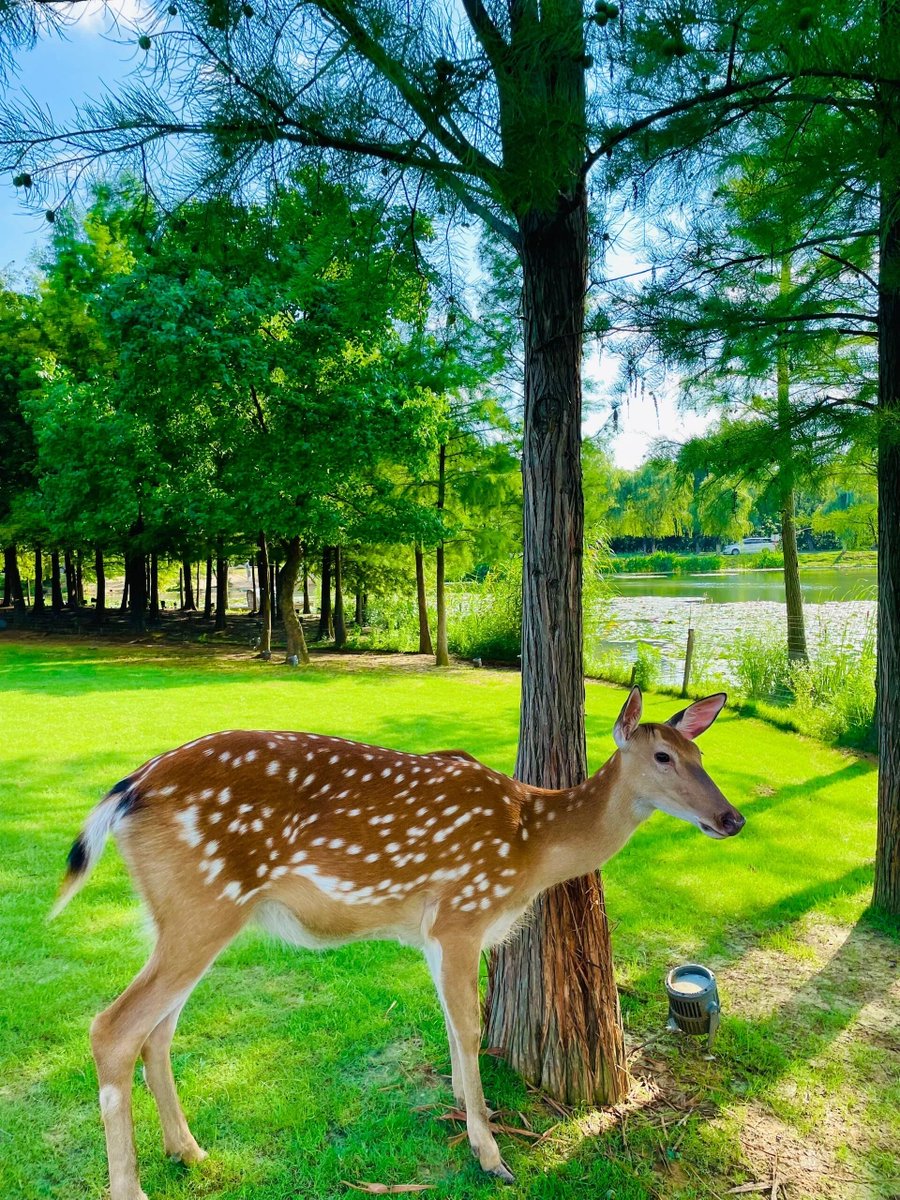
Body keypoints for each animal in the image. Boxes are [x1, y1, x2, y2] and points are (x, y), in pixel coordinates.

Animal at [51, 687, 744, 1200]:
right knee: (113, 1028)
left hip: (182, 916)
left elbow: (450, 1024)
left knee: (156, 1032)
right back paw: (133, 1186)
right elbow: (467, 1027)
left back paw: (189, 1150)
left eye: (702, 753)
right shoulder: (461, 913)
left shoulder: (433, 934)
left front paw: (468, 1107)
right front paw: (490, 1154)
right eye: (663, 757)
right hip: (202, 904)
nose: (731, 818)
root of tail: (127, 791)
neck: (531, 846)